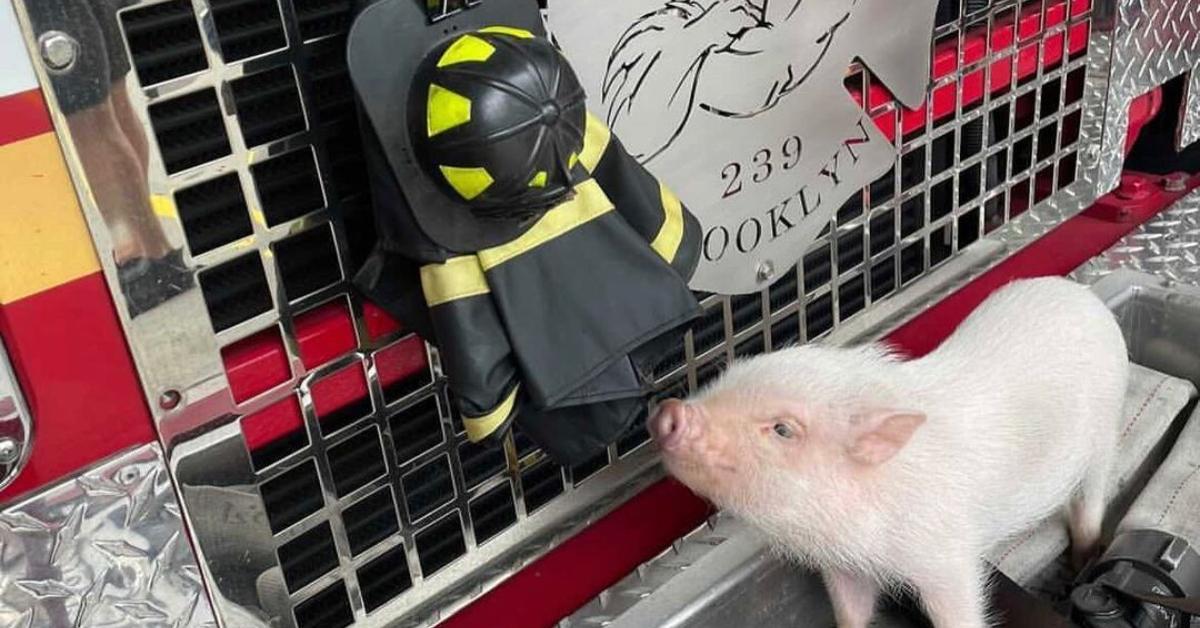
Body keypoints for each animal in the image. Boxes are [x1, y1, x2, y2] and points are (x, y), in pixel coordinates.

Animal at [652, 279, 1128, 628]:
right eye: (725, 378)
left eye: (783, 429)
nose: (670, 412)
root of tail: (1087, 298)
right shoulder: (845, 565)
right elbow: (851, 611)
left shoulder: (946, 553)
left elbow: (960, 611)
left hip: (1104, 433)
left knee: (1091, 498)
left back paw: (1083, 557)